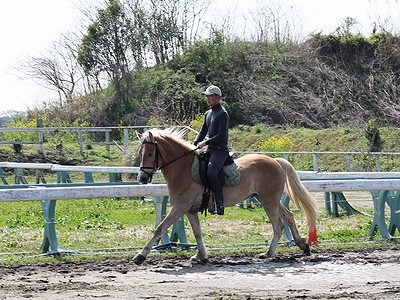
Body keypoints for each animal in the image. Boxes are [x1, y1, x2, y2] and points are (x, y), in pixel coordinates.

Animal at [133, 127, 318, 264]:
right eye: (139, 153)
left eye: (149, 154)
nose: (142, 178)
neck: (183, 169)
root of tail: (276, 161)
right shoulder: (190, 210)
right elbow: (197, 232)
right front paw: (201, 255)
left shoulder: (179, 207)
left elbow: (159, 228)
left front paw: (140, 255)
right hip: (265, 199)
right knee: (289, 216)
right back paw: (303, 245)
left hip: (269, 201)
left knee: (277, 224)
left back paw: (269, 253)